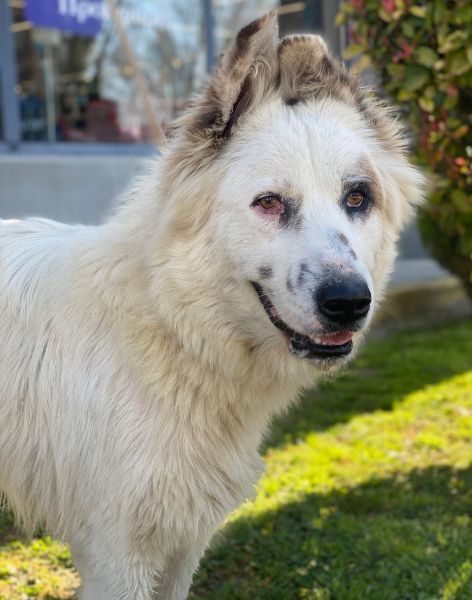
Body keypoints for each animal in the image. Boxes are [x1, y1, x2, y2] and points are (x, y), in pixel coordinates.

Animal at [0, 12, 424, 600]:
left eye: (357, 197)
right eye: (268, 203)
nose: (349, 304)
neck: (170, 327)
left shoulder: (180, 546)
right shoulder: (117, 557)